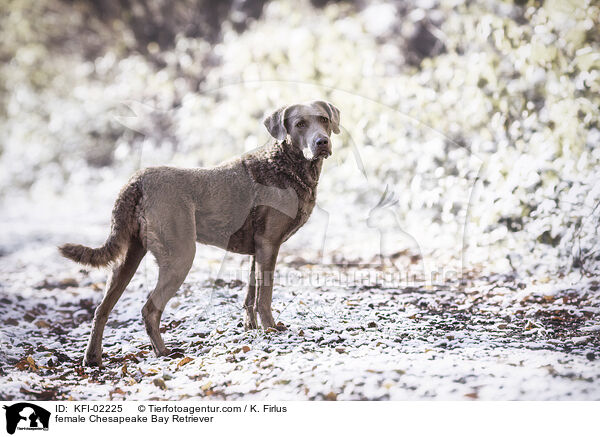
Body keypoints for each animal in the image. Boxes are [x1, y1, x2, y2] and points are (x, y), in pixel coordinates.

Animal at [61, 99, 342, 364]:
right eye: (300, 124)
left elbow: (251, 295)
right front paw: (271, 329)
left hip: (128, 257)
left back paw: (93, 359)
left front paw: (251, 328)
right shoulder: (269, 244)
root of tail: (136, 181)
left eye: (324, 119)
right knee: (150, 308)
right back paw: (164, 353)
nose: (322, 142)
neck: (285, 164)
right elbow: (265, 295)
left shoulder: (258, 250)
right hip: (181, 255)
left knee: (102, 309)